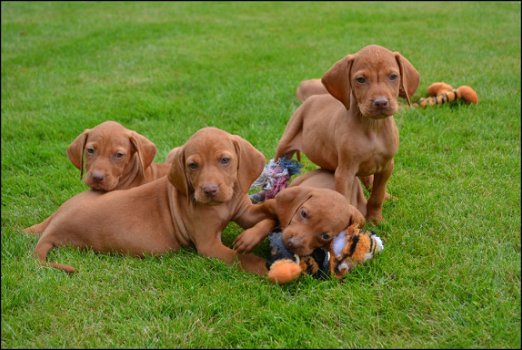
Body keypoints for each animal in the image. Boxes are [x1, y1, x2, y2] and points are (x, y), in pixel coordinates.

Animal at [32, 126, 268, 276]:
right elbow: (240, 258)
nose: (209, 191)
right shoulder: (208, 245)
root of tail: (52, 230)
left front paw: (251, 236)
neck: (223, 205)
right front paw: (265, 266)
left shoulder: (245, 210)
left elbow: (266, 212)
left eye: (225, 160)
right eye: (193, 165)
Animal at [272, 44, 418, 224]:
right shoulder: (345, 173)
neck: (373, 127)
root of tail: (313, 98)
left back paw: (387, 197)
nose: (381, 103)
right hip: (285, 146)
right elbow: (344, 198)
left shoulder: (386, 166)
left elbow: (377, 195)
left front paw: (376, 219)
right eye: (361, 79)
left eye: (393, 76)